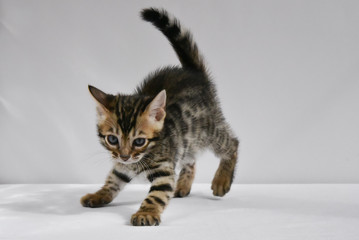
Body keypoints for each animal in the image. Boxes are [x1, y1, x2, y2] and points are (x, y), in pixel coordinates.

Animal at [81, 7, 239, 225]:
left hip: (207, 128)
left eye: (139, 141)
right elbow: (112, 180)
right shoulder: (121, 167)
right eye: (112, 139)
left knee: (232, 143)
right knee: (191, 159)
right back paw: (183, 185)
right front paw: (99, 195)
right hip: (187, 139)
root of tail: (194, 72)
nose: (124, 155)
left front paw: (146, 213)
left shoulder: (163, 169)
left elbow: (157, 194)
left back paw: (221, 180)